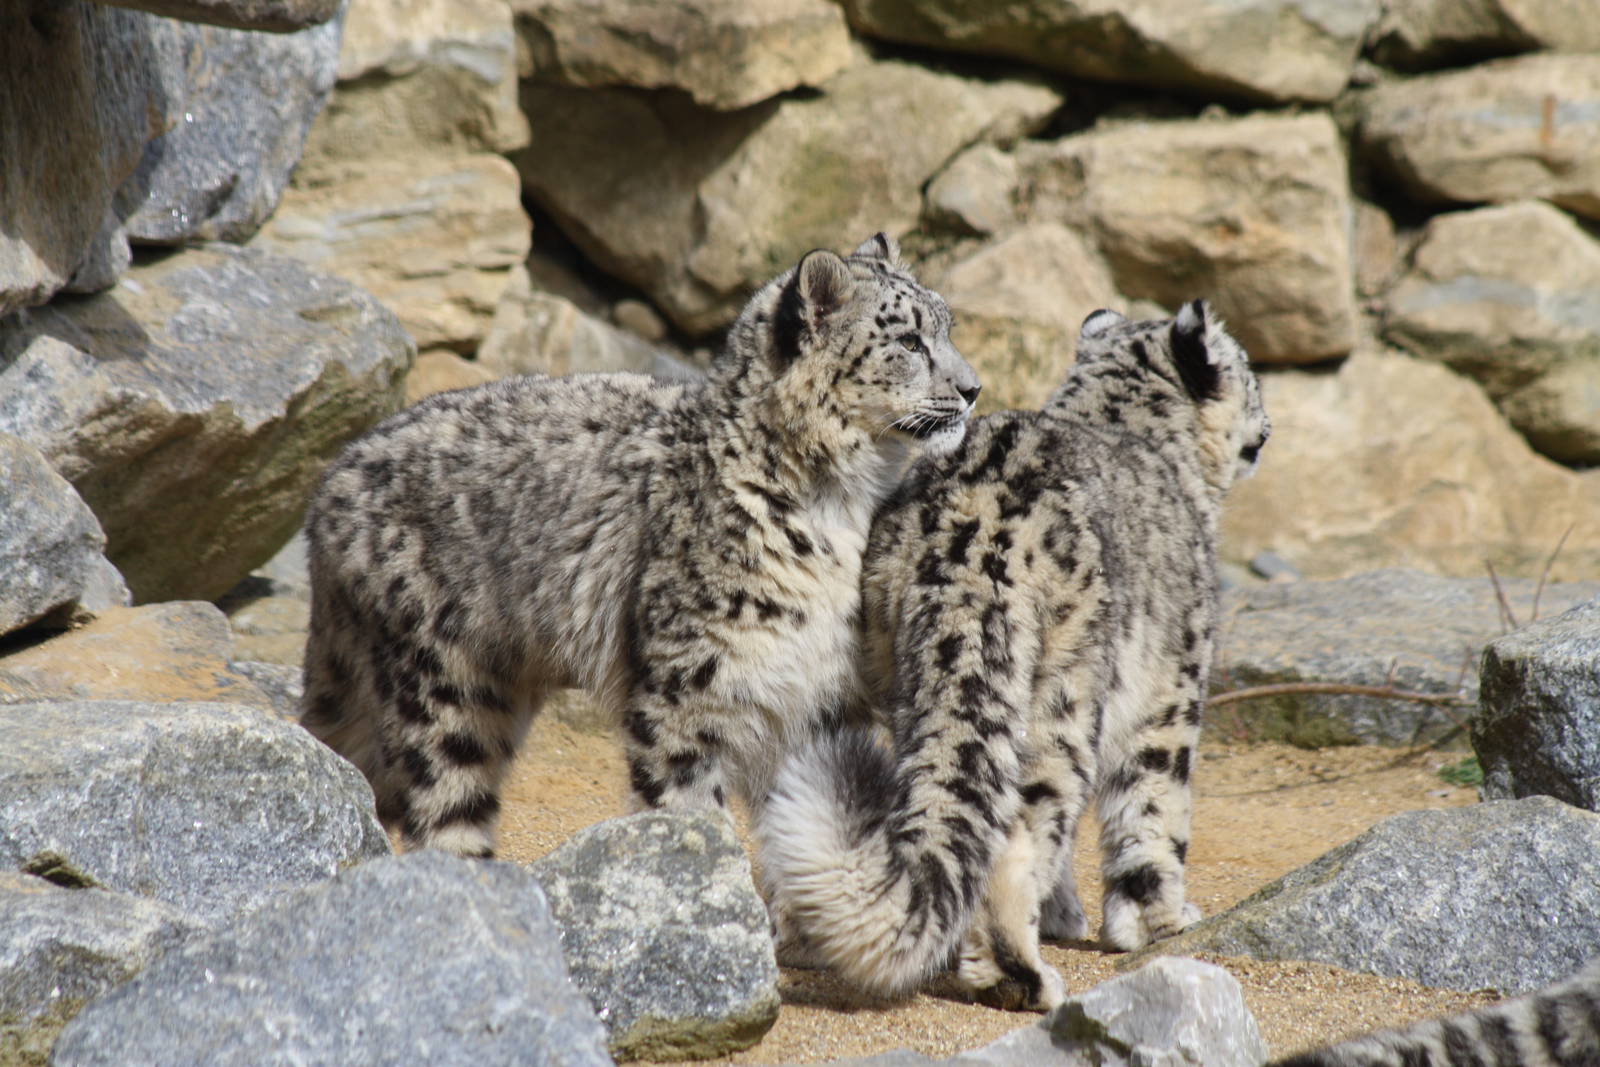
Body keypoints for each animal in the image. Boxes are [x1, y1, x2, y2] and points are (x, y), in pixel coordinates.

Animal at [298, 234, 981, 858]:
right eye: (909, 342)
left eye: (947, 327)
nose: (973, 389)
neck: (839, 509)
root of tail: (332, 481)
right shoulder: (690, 686)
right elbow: (691, 807)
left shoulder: (820, 694)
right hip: (441, 683)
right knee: (442, 805)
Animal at [758, 300, 1269, 1011]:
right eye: (1247, 370)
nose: (1267, 425)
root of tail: (970, 540)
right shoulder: (1173, 687)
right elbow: (1154, 809)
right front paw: (1161, 921)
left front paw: (1066, 915)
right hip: (1062, 694)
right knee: (1023, 825)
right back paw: (1019, 975)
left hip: (903, 676)